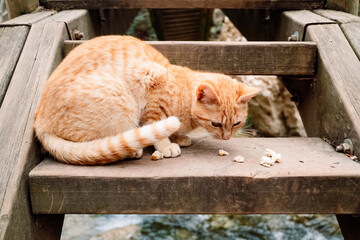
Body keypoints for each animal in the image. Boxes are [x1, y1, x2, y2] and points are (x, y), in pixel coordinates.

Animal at [33, 35, 258, 165]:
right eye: (216, 124)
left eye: (236, 124)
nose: (226, 138)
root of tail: (40, 123)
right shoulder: (152, 89)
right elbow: (157, 127)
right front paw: (166, 145)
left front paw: (179, 138)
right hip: (121, 103)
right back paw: (133, 149)